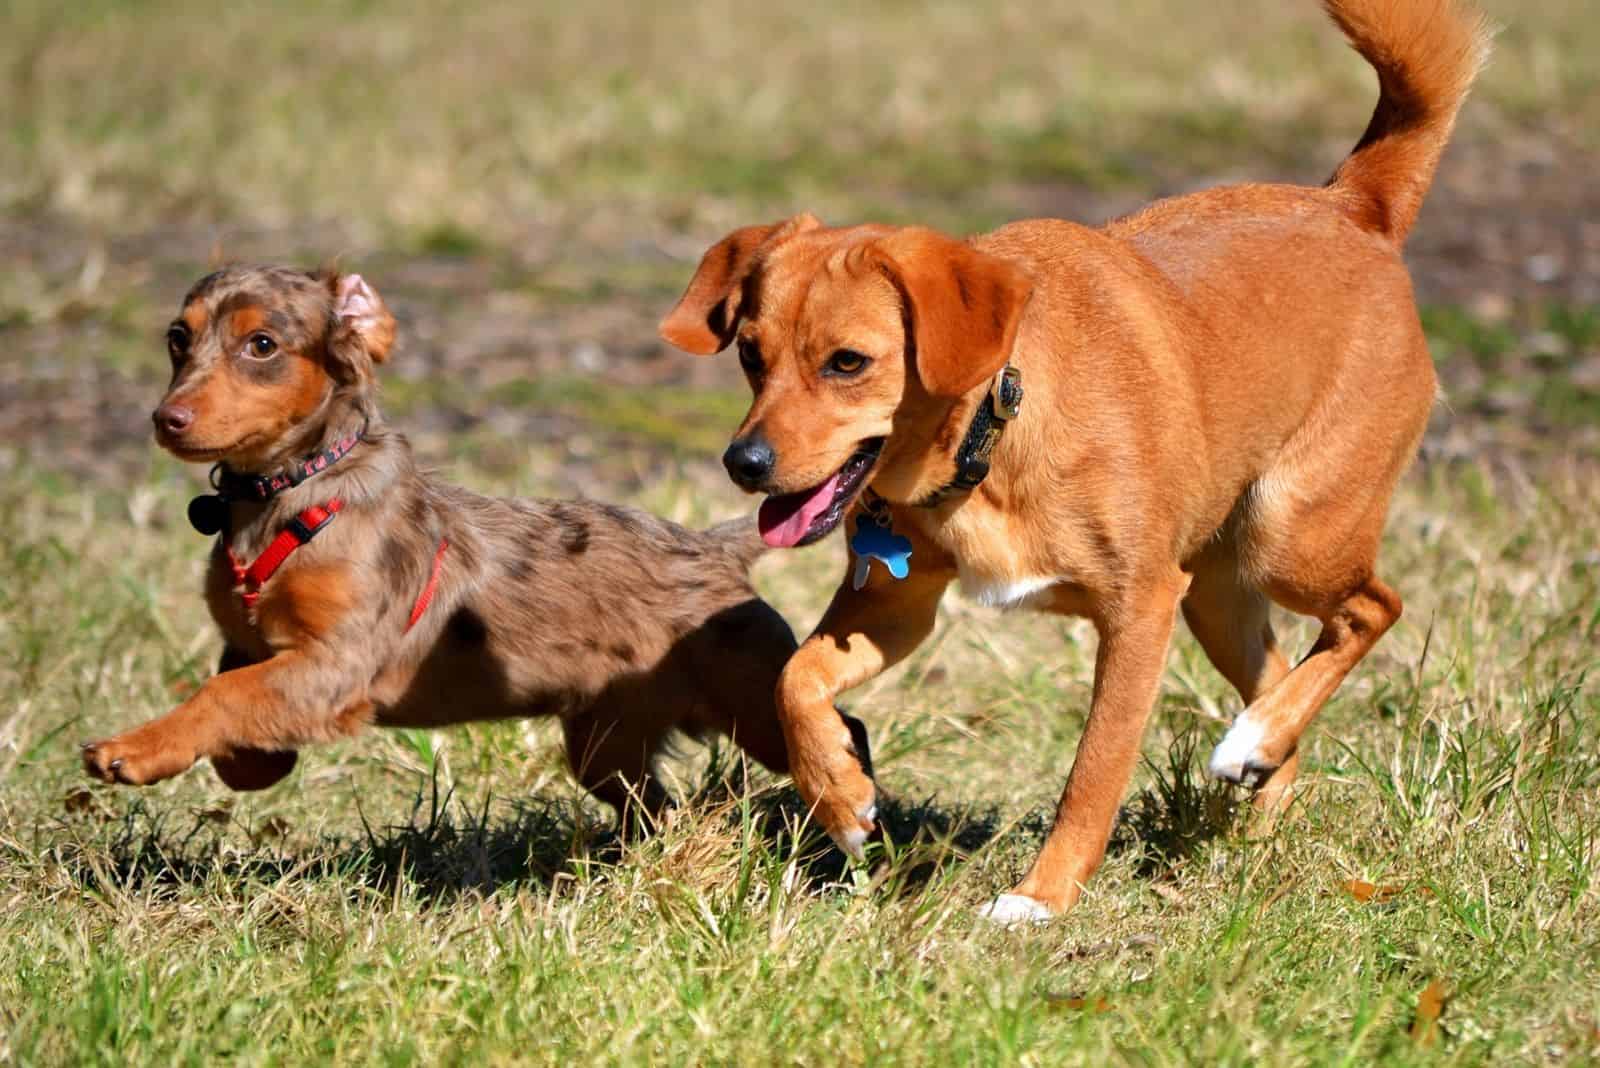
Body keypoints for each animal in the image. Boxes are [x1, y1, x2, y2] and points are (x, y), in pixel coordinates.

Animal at [81, 268, 870, 824]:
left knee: (844, 726)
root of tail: (714, 548)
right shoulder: (258, 647)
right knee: (653, 804)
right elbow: (239, 699)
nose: (166, 419)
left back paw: (852, 804)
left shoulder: (339, 658)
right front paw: (249, 766)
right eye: (177, 339)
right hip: (606, 740)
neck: (291, 493)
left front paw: (133, 750)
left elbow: (224, 693)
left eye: (262, 346)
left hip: (747, 698)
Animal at [656, 0, 1491, 920]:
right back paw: (1258, 788)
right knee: (1280, 673)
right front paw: (839, 796)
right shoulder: (893, 607)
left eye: (847, 362)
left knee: (1373, 608)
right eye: (750, 355)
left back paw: (1256, 741)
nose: (744, 462)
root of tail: (1354, 204)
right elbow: (794, 680)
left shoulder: (1141, 610)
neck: (991, 435)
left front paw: (1041, 900)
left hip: (1290, 537)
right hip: (1219, 594)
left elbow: (1094, 773)